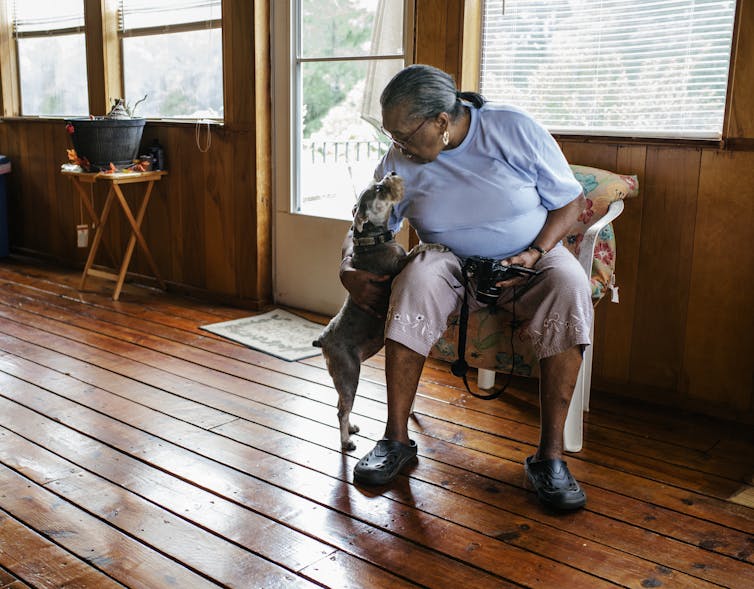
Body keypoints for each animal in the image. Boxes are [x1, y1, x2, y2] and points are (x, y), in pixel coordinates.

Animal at [312, 172, 446, 448]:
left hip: (342, 376)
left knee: (340, 404)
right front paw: (436, 246)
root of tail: (323, 340)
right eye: (379, 189)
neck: (372, 239)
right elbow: (418, 250)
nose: (391, 173)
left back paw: (351, 428)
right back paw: (346, 441)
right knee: (342, 409)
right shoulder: (398, 264)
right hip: (350, 372)